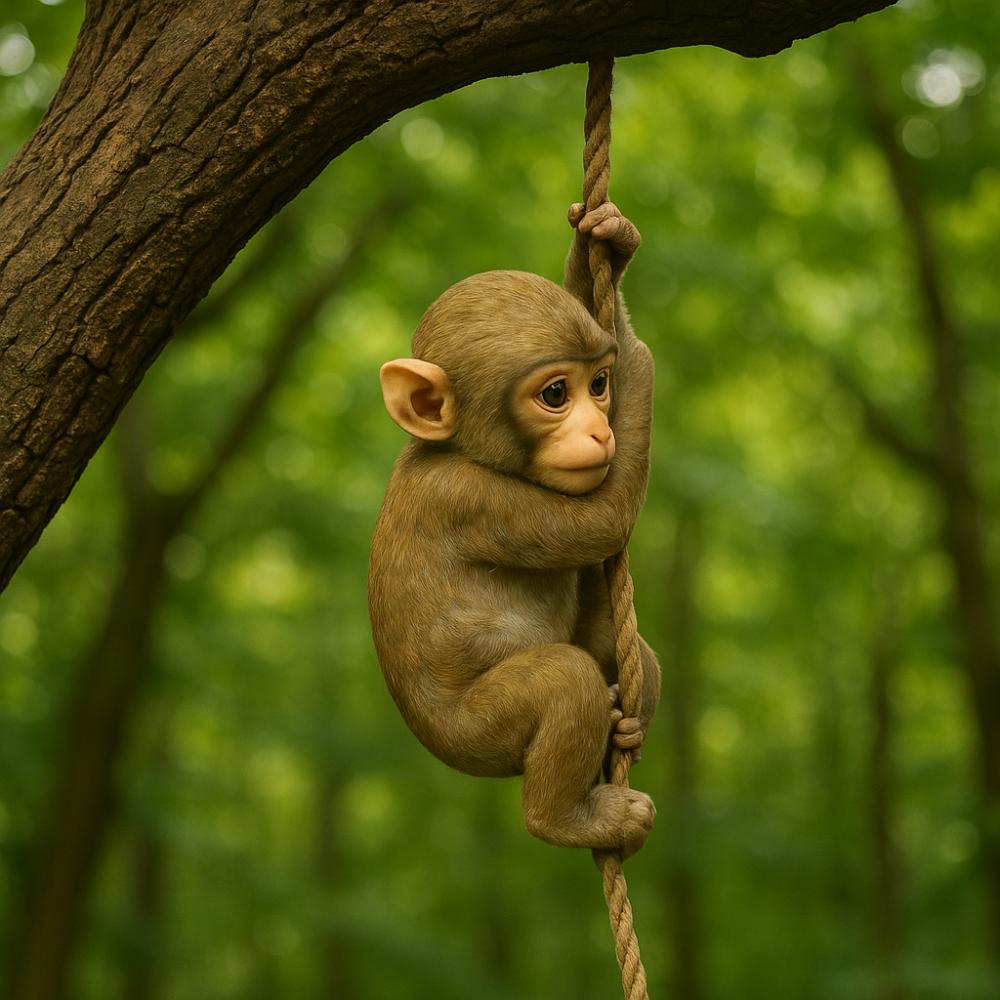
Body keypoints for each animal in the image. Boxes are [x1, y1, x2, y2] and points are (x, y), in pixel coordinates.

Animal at [368, 202, 660, 858]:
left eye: (597, 385)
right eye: (556, 394)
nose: (601, 430)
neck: (457, 449)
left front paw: (604, 251)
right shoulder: (469, 499)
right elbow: (602, 521)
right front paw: (636, 352)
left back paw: (628, 723)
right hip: (479, 732)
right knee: (563, 680)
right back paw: (571, 819)